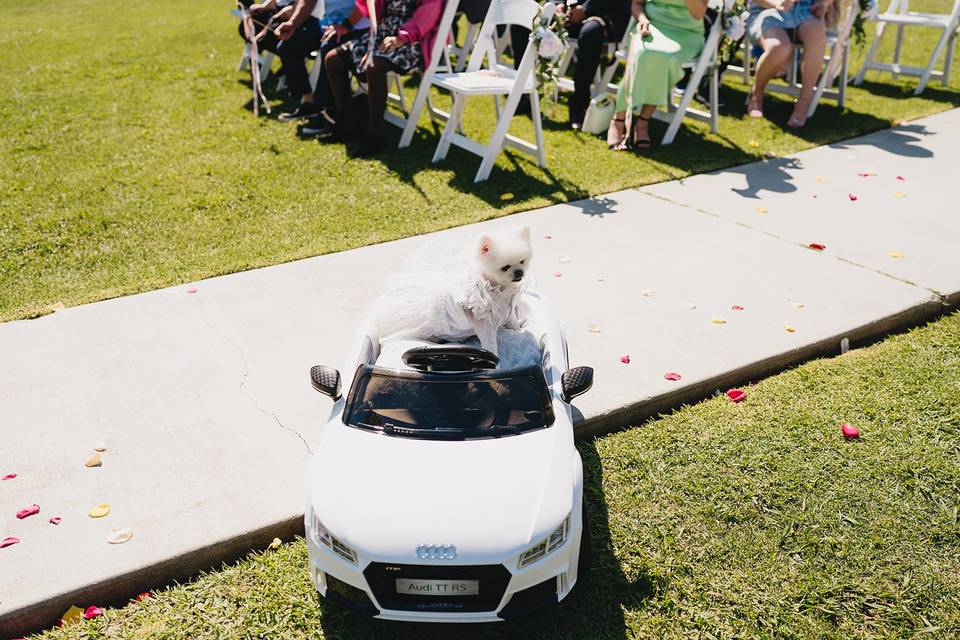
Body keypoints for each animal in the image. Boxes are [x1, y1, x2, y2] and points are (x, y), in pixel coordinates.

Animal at [372, 225, 532, 356]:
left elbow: (513, 323)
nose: (518, 272)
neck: (494, 287)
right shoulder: (484, 324)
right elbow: (490, 345)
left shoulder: (506, 310)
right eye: (505, 267)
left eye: (522, 261)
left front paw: (519, 330)